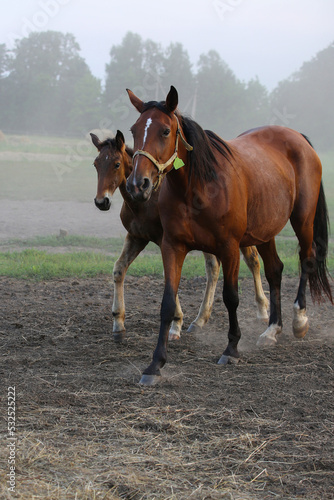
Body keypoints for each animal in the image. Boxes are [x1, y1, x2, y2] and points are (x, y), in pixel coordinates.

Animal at [90, 129, 268, 342]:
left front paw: (176, 323)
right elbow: (119, 269)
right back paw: (200, 320)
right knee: (214, 268)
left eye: (116, 164)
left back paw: (263, 311)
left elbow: (170, 276)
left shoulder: (165, 240)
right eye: (96, 164)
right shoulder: (136, 237)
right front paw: (118, 324)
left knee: (252, 260)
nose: (102, 201)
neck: (145, 202)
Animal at [126, 86, 332, 384]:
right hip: (265, 232)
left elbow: (231, 297)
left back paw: (299, 320)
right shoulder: (172, 247)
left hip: (303, 220)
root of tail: (299, 138)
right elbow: (167, 303)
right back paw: (272, 329)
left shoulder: (229, 247)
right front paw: (155, 364)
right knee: (275, 271)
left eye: (165, 131)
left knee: (307, 260)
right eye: (134, 130)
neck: (198, 188)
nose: (137, 184)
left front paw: (232, 349)